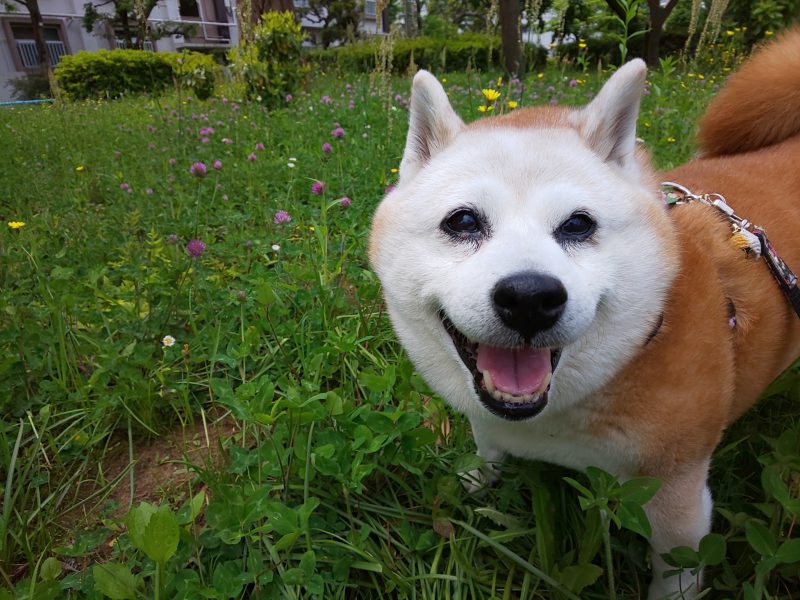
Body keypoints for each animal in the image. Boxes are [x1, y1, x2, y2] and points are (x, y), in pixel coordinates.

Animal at [368, 29, 800, 600]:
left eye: (577, 225)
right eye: (462, 221)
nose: (529, 296)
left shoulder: (677, 494)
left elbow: (676, 573)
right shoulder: (490, 424)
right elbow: (486, 451)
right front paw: (475, 484)